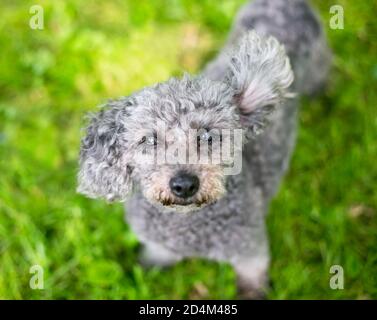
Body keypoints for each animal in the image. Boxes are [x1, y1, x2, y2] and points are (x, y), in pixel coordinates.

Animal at [76, 0, 328, 300]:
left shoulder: (250, 250)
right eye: (149, 140)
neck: (186, 227)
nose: (184, 184)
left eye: (208, 136)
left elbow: (252, 276)